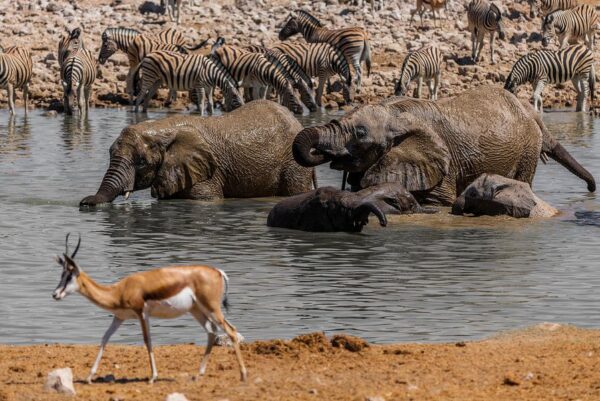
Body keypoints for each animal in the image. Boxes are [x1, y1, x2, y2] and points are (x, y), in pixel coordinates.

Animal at [292, 86, 596, 206]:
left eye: (360, 133)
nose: (593, 189)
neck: (394, 114)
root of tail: (531, 114)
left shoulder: (441, 162)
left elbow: (438, 202)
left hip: (528, 149)